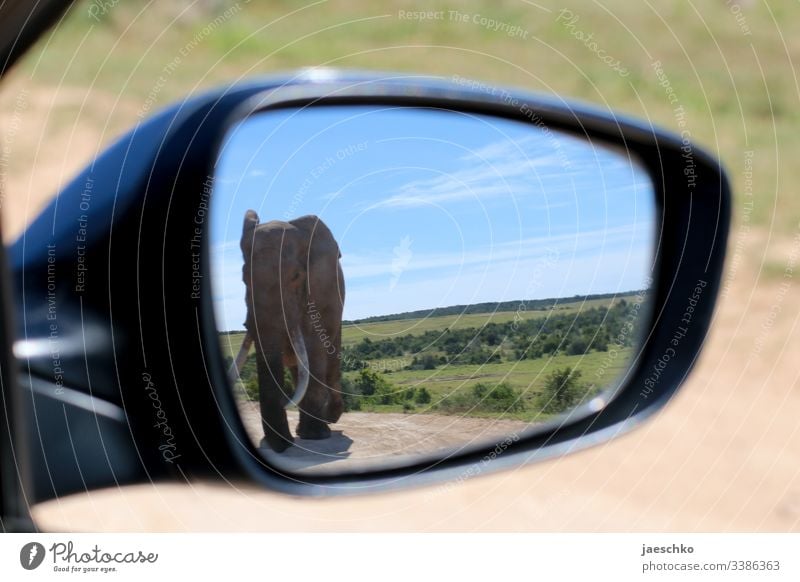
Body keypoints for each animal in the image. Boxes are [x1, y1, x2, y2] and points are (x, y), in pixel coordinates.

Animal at [230, 212, 346, 454]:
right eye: (244, 278)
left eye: (296, 276)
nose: (285, 446)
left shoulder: (318, 292)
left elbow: (314, 349)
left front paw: (315, 437)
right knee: (297, 370)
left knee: (330, 365)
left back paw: (330, 419)